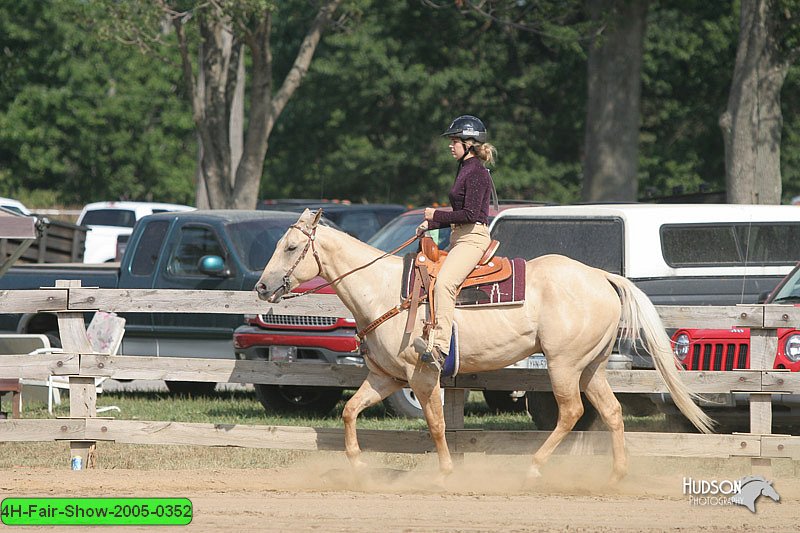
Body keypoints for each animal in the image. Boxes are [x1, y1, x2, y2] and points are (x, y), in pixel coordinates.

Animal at [256, 210, 712, 484]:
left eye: (291, 247)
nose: (261, 287)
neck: (382, 290)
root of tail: (600, 276)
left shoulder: (423, 375)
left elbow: (436, 424)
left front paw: (444, 472)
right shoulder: (386, 377)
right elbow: (351, 411)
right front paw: (359, 466)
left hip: (564, 365)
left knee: (570, 413)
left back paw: (534, 467)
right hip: (590, 367)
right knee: (613, 412)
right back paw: (616, 475)